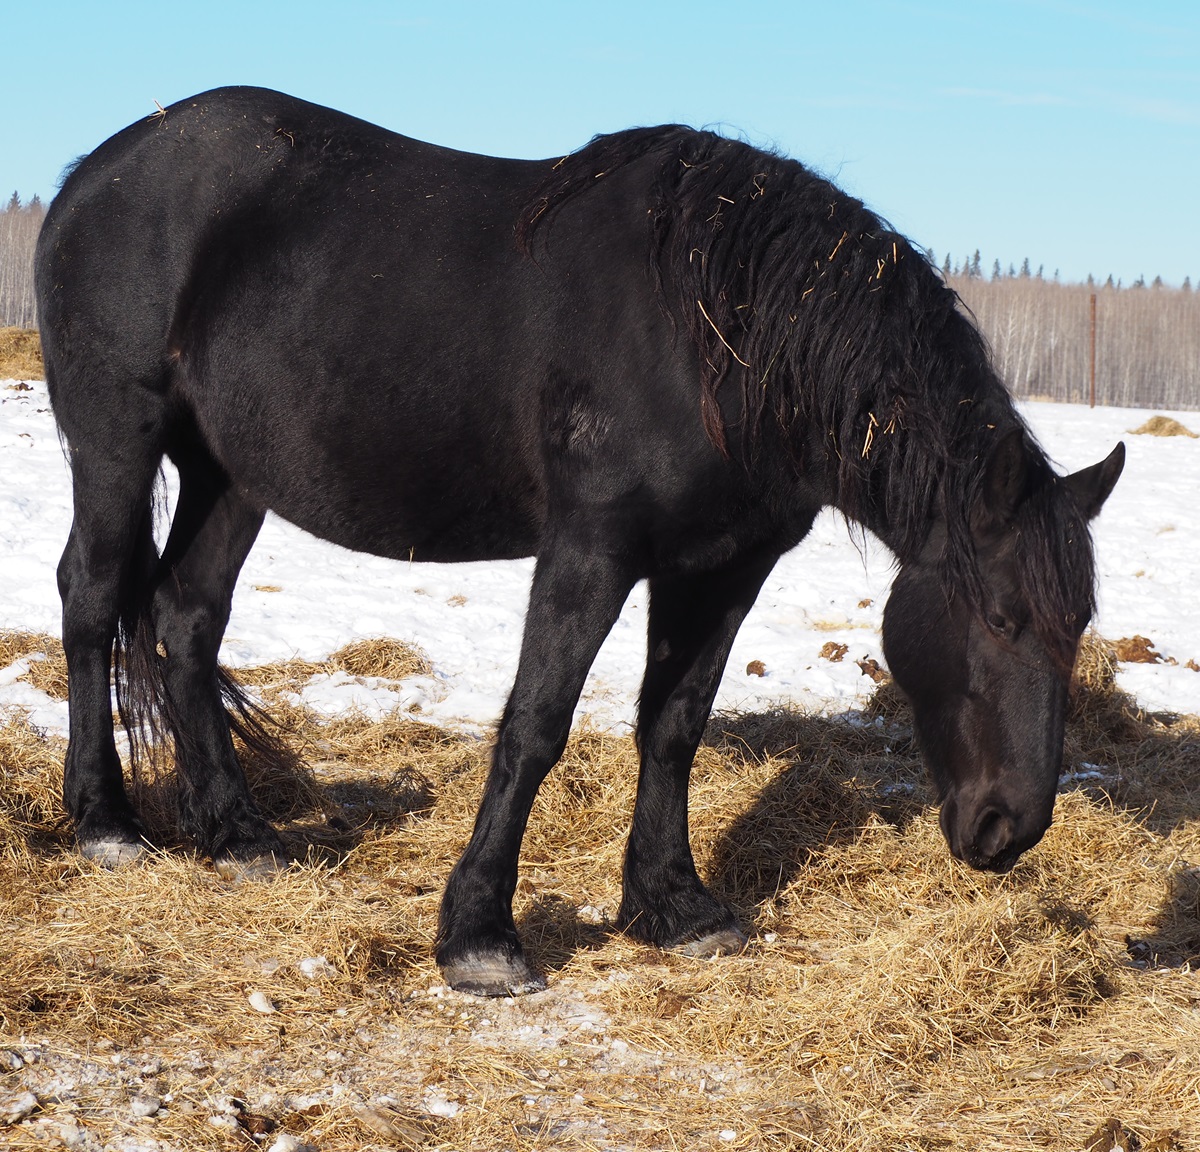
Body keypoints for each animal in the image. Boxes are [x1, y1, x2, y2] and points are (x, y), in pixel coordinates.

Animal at [35, 87, 1123, 996]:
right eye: (1001, 616)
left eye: (1078, 627)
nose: (1011, 828)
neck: (718, 337)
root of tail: (95, 169)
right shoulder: (591, 550)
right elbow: (536, 724)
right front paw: (481, 937)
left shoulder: (723, 568)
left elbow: (673, 725)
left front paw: (673, 905)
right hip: (119, 439)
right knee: (92, 596)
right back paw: (106, 823)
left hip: (231, 475)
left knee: (185, 616)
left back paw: (238, 832)